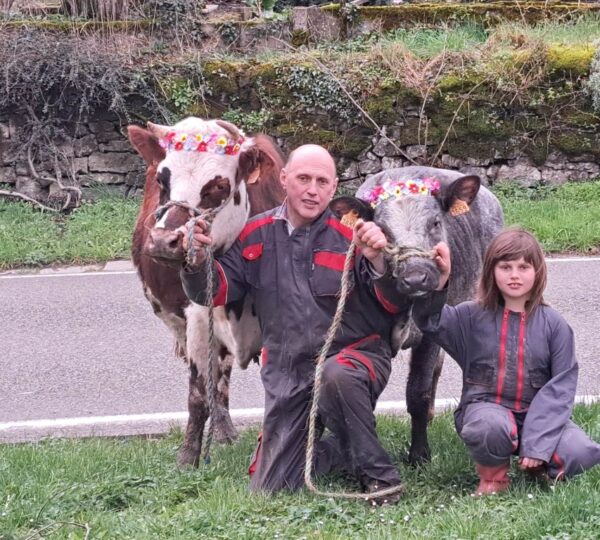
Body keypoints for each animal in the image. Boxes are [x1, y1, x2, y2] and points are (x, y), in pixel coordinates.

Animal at [127, 118, 286, 468]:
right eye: (162, 179)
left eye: (218, 187)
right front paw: (187, 459)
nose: (164, 242)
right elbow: (198, 393)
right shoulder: (197, 321)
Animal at [330, 166, 504, 464]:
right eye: (383, 231)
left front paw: (419, 455)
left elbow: (417, 392)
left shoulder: (429, 335)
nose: (416, 278)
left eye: (435, 223)